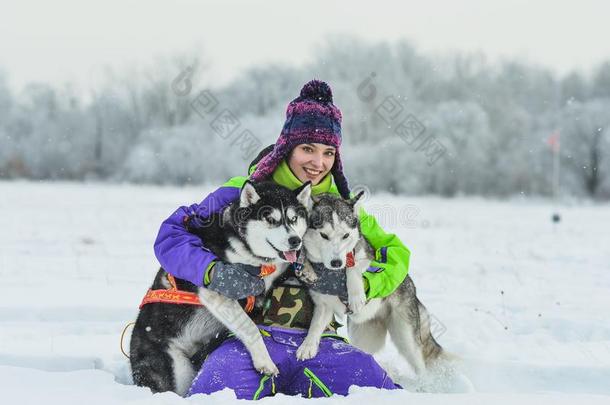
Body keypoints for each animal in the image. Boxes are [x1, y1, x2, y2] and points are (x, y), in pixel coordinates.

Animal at [128, 181, 308, 394]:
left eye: (293, 218)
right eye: (271, 219)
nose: (295, 241)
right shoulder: (216, 292)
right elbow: (250, 327)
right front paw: (265, 362)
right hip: (173, 368)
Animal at [296, 193, 444, 376]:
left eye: (345, 236)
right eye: (324, 235)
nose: (337, 263)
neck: (331, 271)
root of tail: (412, 288)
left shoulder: (368, 259)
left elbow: (354, 267)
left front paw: (356, 295)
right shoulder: (324, 305)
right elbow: (315, 326)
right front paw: (307, 346)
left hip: (405, 335)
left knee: (418, 363)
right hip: (363, 336)